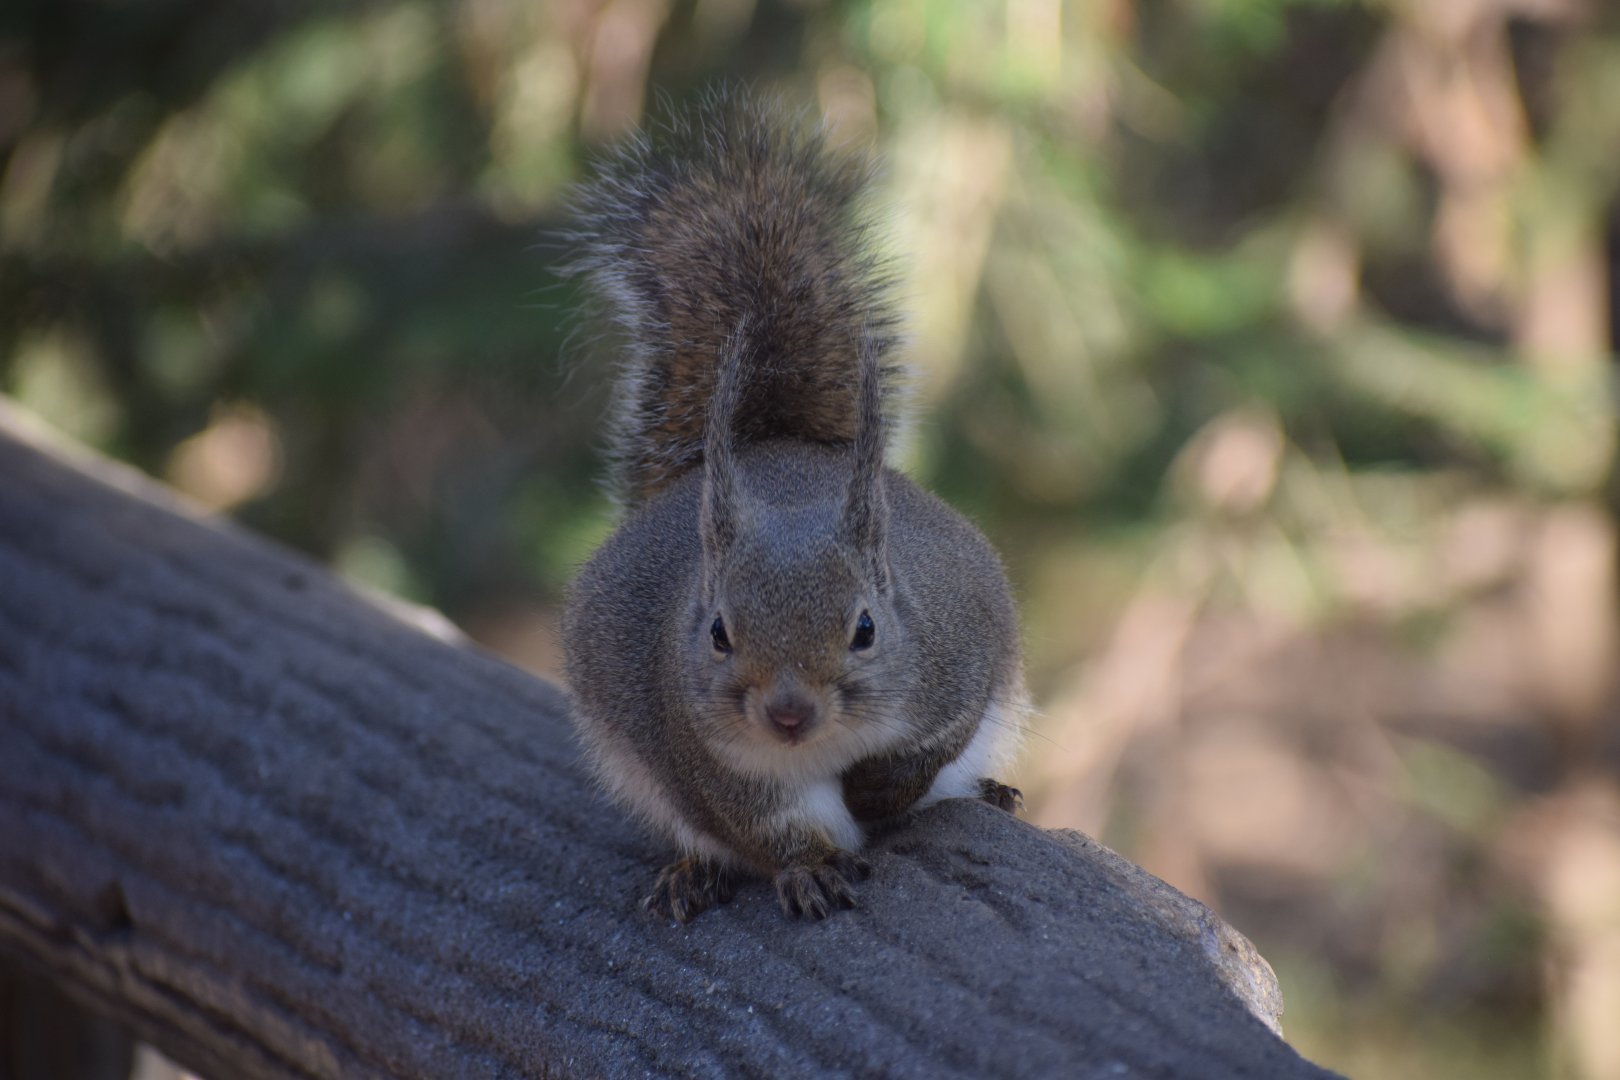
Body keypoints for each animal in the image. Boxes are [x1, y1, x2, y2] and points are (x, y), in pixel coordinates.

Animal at [562, 93, 1028, 923]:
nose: (788, 714)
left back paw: (990, 791)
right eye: (718, 632)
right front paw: (809, 867)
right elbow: (765, 825)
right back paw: (692, 872)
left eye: (866, 629)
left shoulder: (959, 662)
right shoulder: (709, 761)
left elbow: (932, 745)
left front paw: (880, 790)